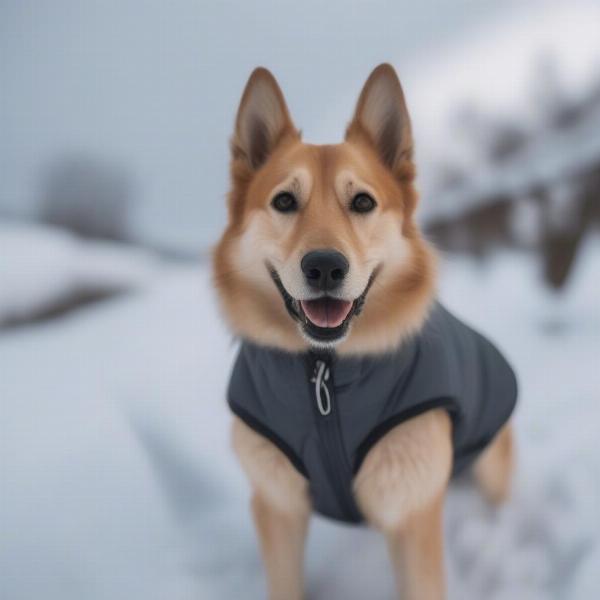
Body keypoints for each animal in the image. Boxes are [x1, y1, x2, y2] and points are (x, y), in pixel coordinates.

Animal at [212, 63, 516, 596]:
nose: (325, 267)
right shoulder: (276, 506)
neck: (325, 374)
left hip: (490, 459)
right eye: (284, 200)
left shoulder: (413, 514)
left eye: (362, 202)